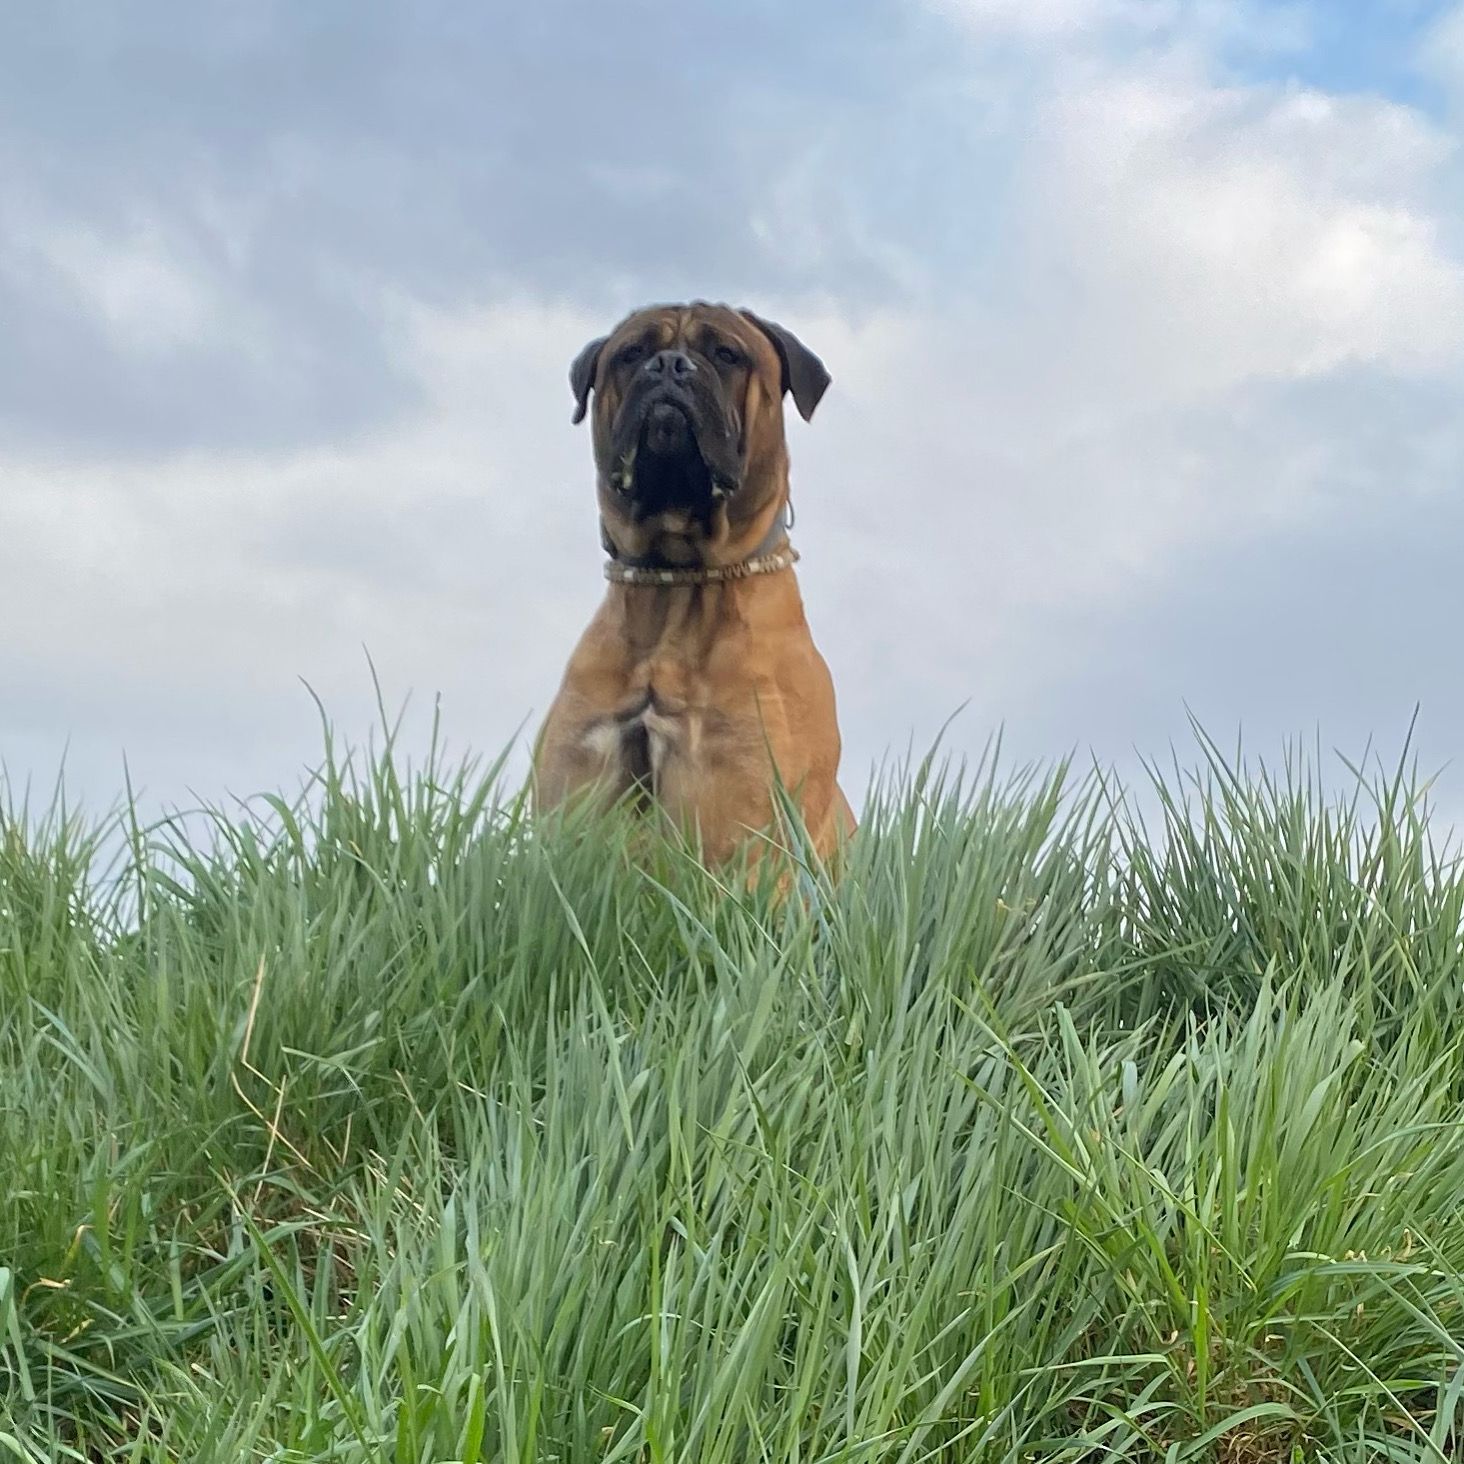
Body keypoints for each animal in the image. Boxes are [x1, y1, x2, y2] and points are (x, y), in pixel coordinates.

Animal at [532, 301, 854, 860]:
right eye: (631, 353)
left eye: (727, 354)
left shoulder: (741, 806)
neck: (680, 583)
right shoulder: (575, 780)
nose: (668, 366)